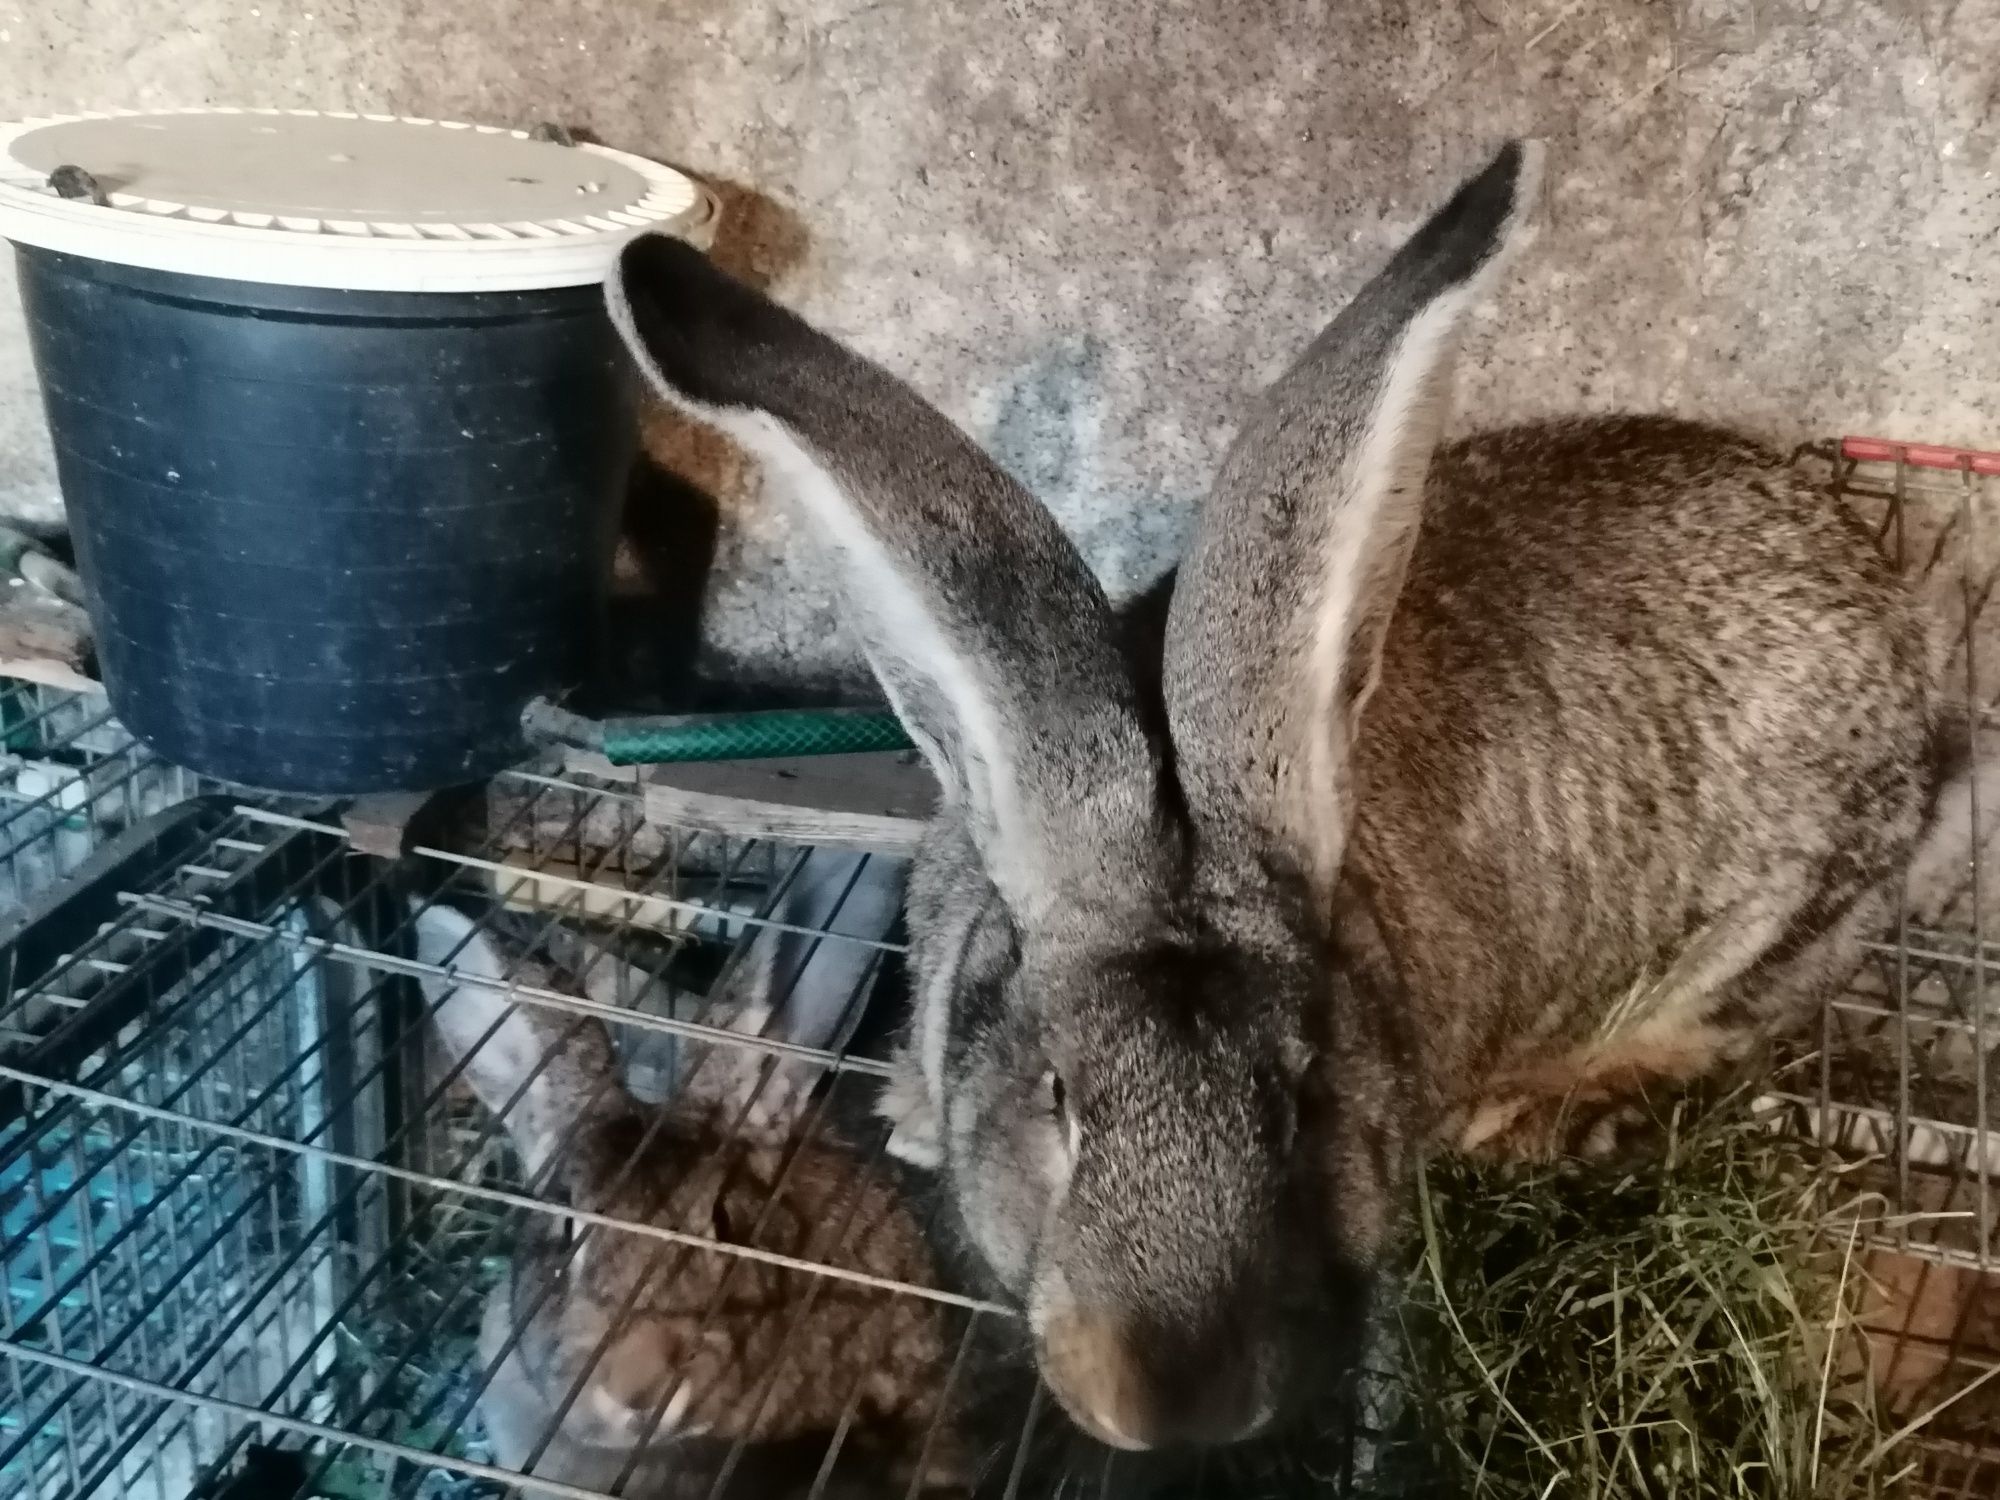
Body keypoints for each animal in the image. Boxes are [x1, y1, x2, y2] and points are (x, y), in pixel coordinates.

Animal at [608, 147, 1952, 1464]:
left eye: (1300, 1107)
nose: (1172, 1408)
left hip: (1762, 939)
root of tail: (1895, 630)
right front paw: (909, 1114)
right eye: (1057, 1102)